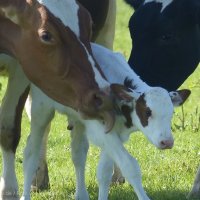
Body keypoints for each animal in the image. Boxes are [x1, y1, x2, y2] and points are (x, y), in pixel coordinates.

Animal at [21, 44, 190, 200]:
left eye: (171, 113)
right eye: (148, 112)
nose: (167, 142)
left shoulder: (114, 134)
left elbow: (104, 172)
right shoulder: (103, 133)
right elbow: (130, 166)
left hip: (78, 122)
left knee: (78, 154)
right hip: (40, 110)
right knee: (31, 153)